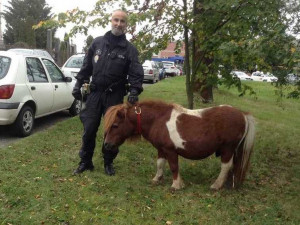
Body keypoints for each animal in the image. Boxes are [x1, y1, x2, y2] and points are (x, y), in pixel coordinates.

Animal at [103, 100, 255, 190]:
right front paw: (157, 179)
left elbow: (174, 167)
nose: (107, 145)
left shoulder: (170, 151)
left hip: (228, 149)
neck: (157, 119)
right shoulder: (161, 149)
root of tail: (243, 114)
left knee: (226, 166)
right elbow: (160, 164)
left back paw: (216, 185)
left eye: (115, 125)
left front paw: (176, 185)